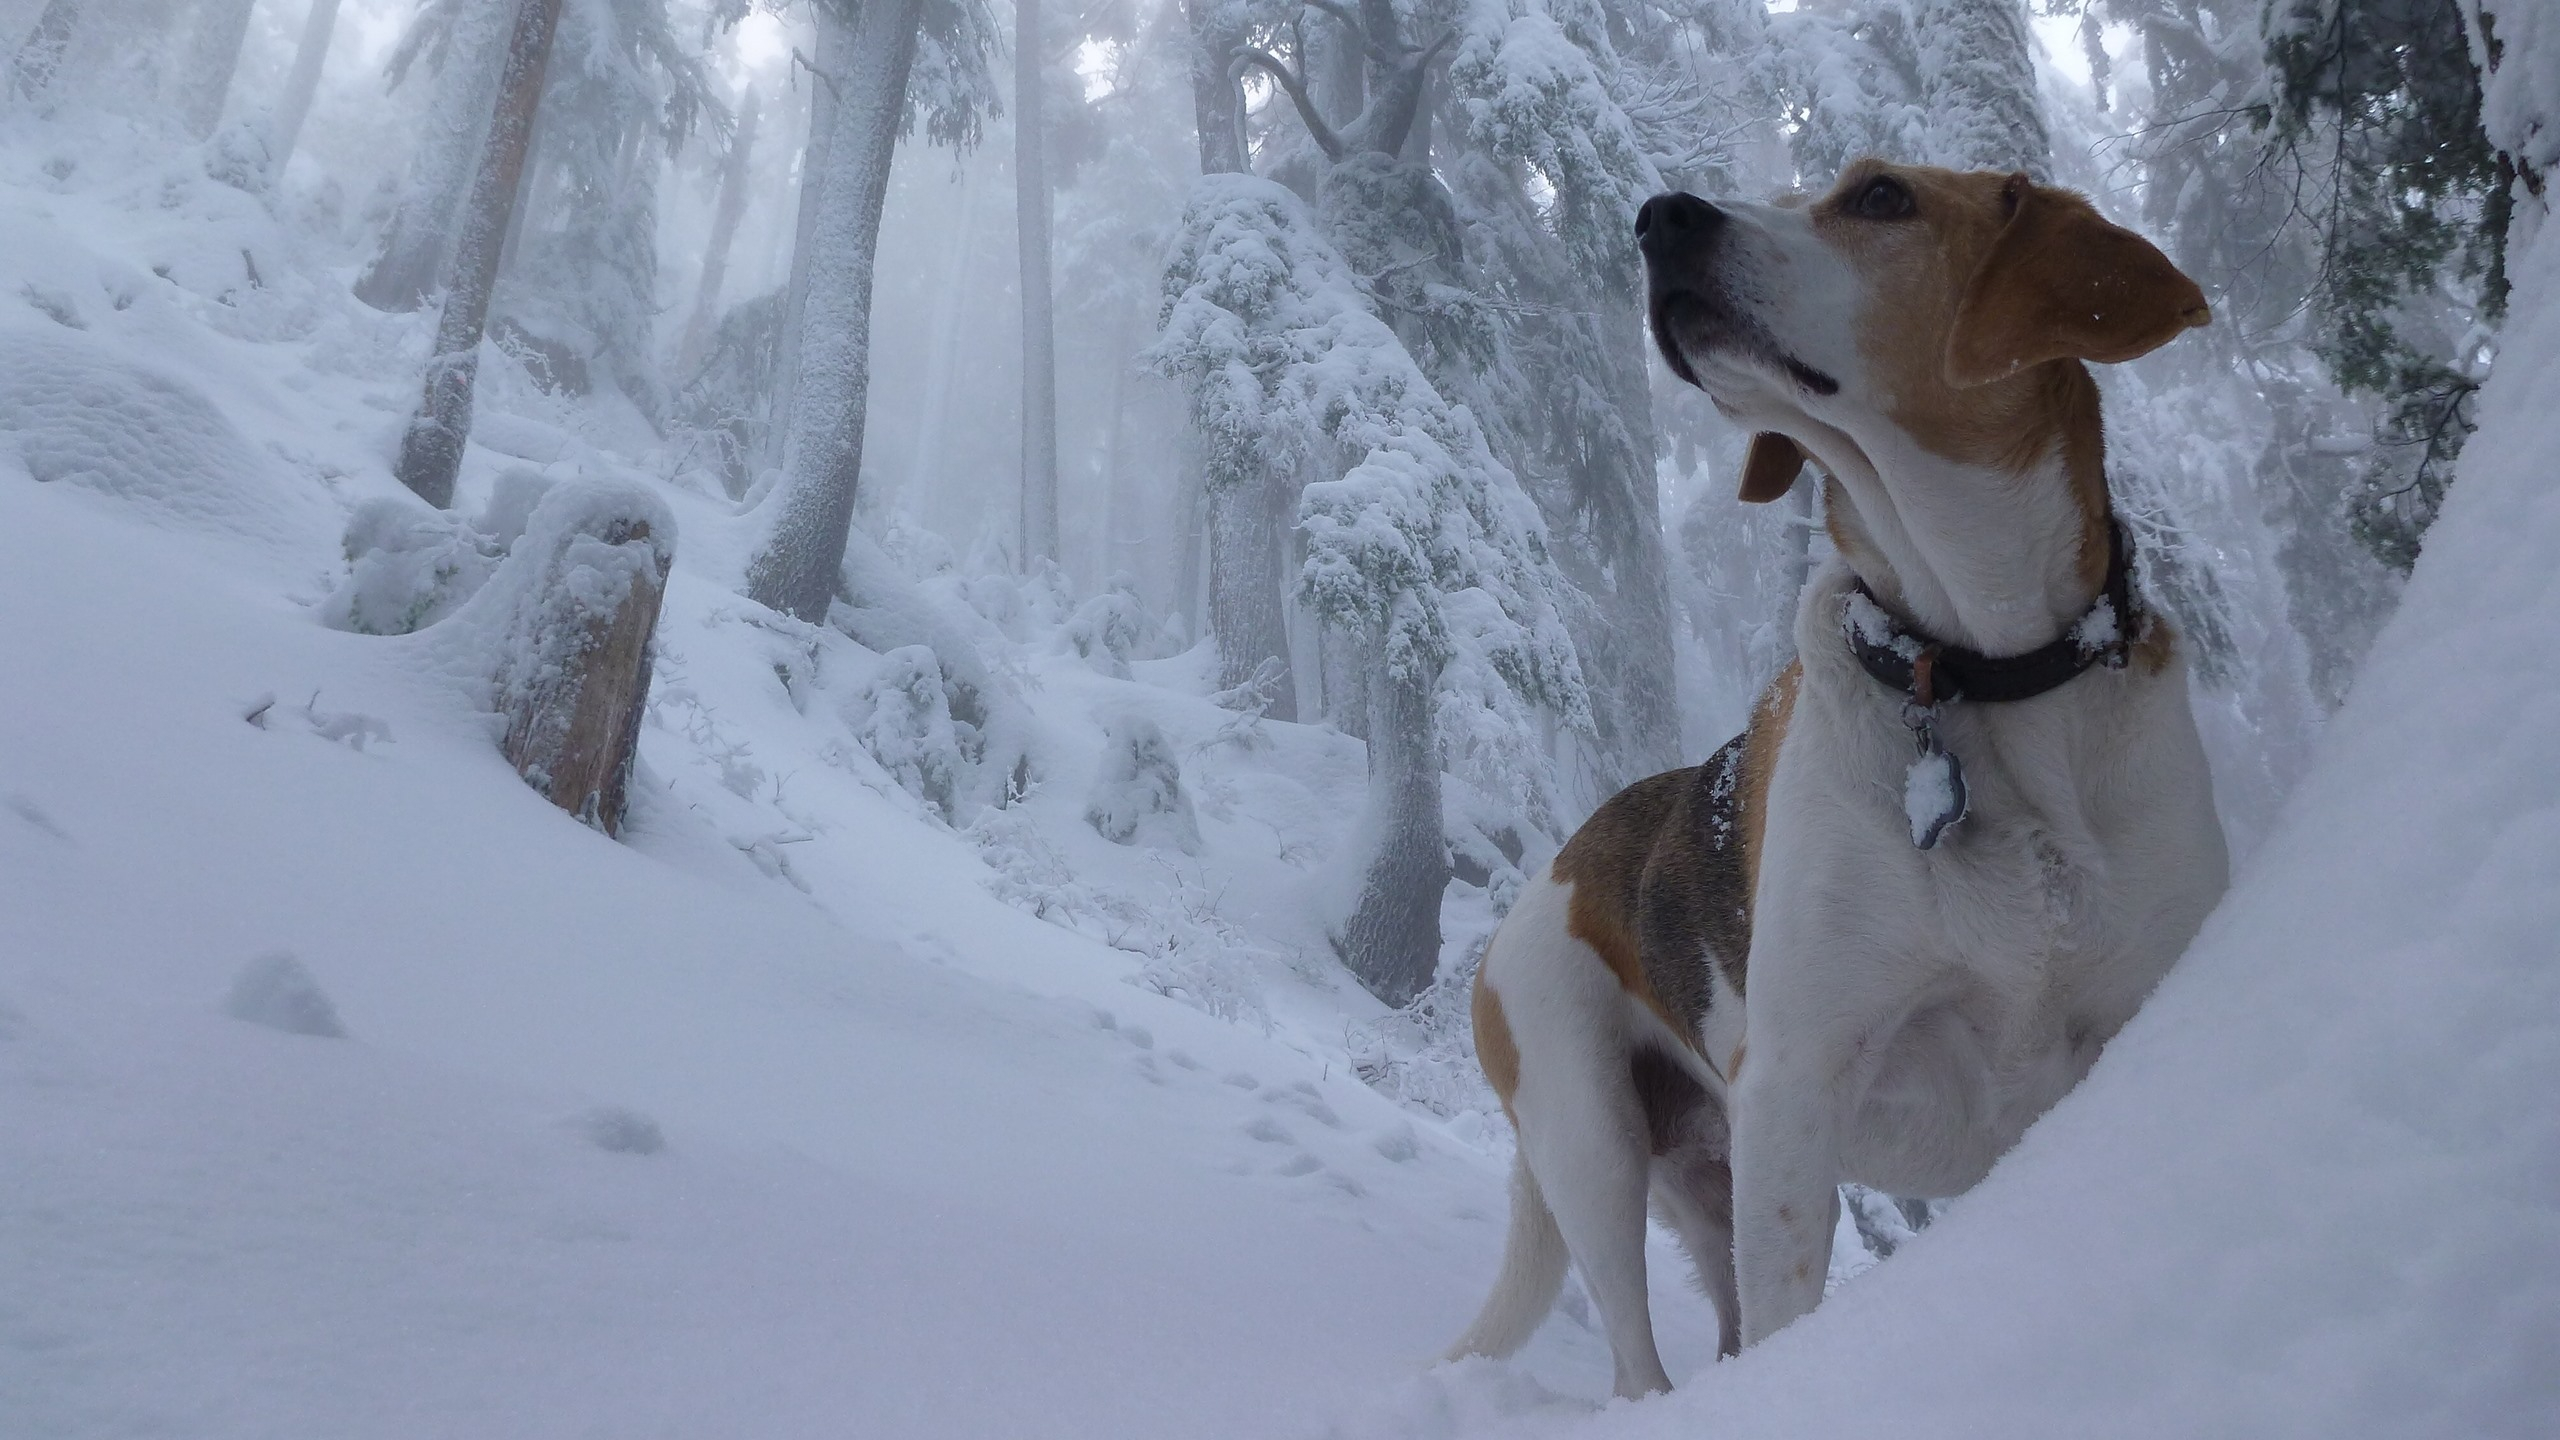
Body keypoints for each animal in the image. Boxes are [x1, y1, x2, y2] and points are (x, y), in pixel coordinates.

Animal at [1454, 165, 2232, 1393]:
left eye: (1879, 198)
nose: (1656, 215)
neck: (1977, 669)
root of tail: (1551, 873)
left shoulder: (2135, 1013)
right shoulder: (1796, 1081)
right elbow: (1792, 1311)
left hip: (1693, 1175)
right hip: (1590, 1135)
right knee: (1641, 1359)